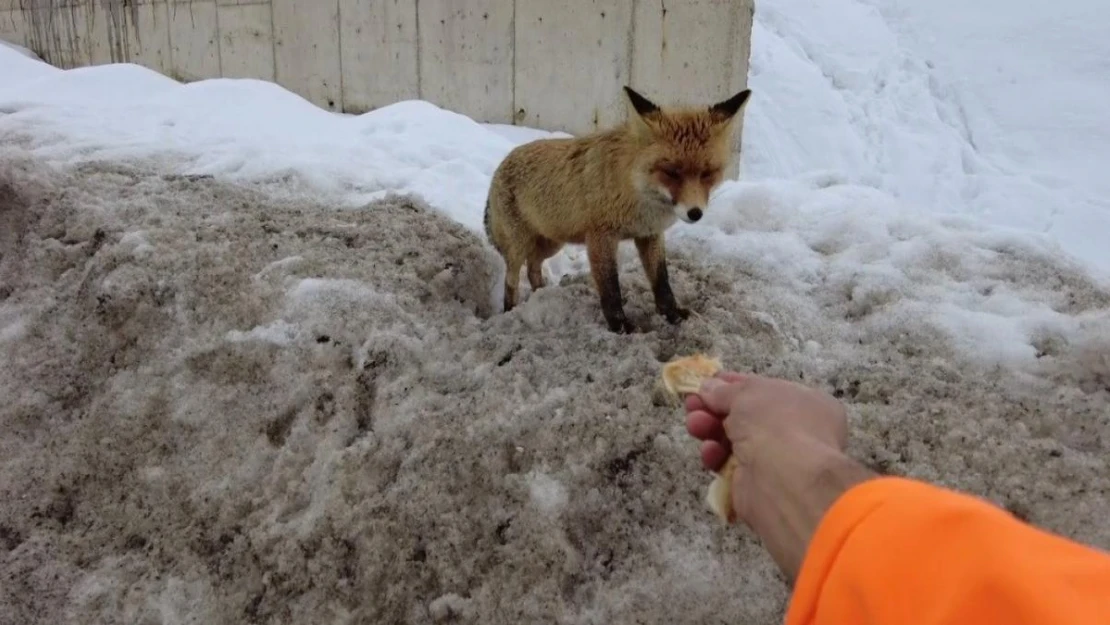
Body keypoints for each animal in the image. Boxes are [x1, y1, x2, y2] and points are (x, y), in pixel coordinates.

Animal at [481, 85, 750, 335]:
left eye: (707, 173)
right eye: (671, 172)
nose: (695, 213)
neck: (637, 193)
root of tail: (501, 165)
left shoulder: (650, 234)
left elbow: (661, 281)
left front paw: (672, 314)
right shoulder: (601, 236)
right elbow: (611, 287)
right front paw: (621, 327)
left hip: (551, 243)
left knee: (534, 268)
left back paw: (542, 295)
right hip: (520, 246)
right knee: (512, 279)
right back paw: (511, 310)